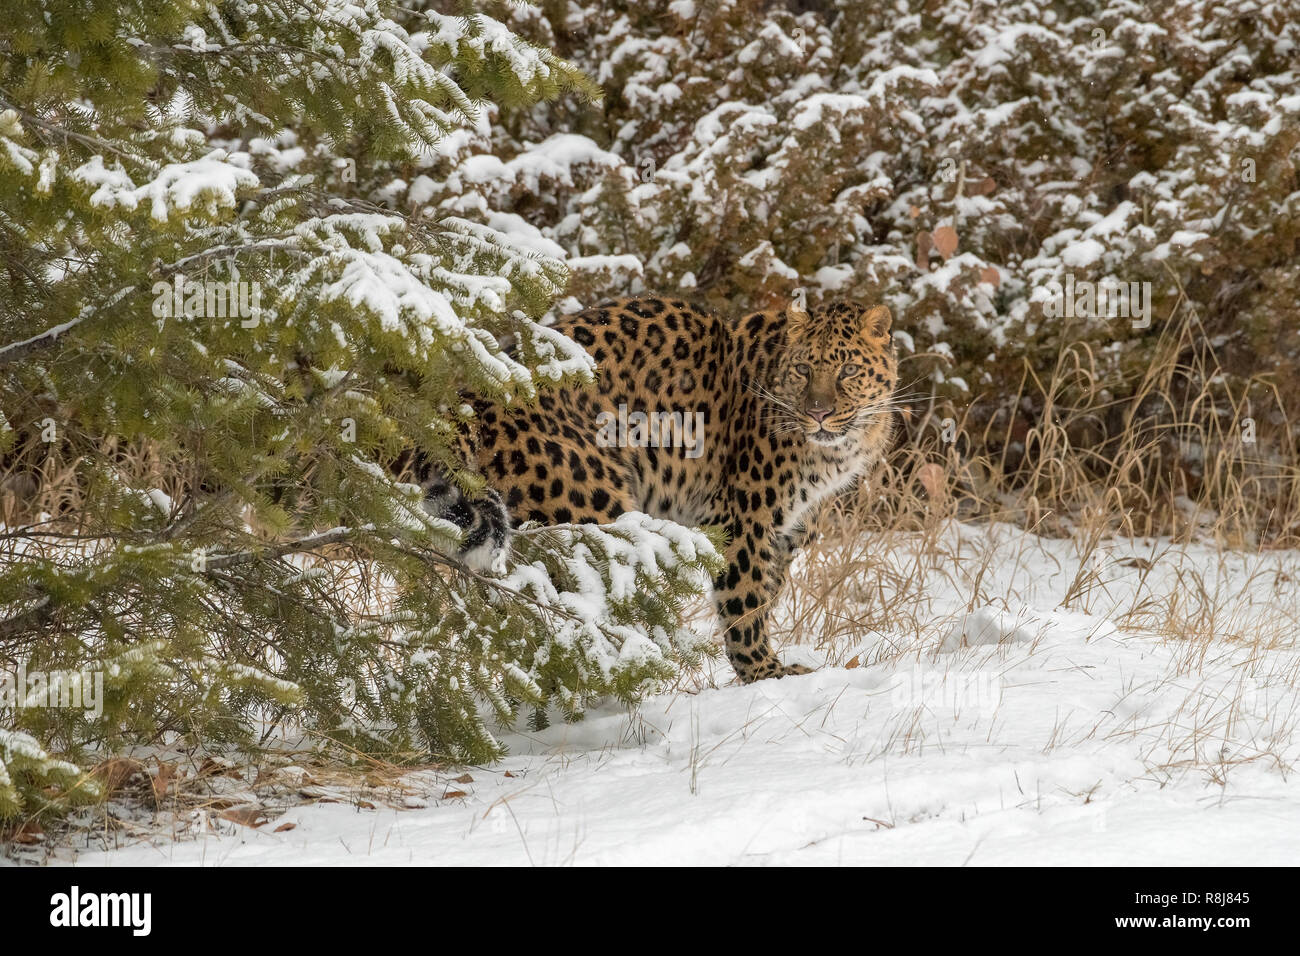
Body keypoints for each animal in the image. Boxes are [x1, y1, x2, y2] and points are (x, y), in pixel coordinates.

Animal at [419, 296, 898, 683]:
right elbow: (744, 600)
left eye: (848, 371)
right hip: (595, 508)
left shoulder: (789, 531)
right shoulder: (742, 518)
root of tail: (468, 403)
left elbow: (765, 595)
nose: (819, 413)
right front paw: (765, 673)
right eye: (804, 369)